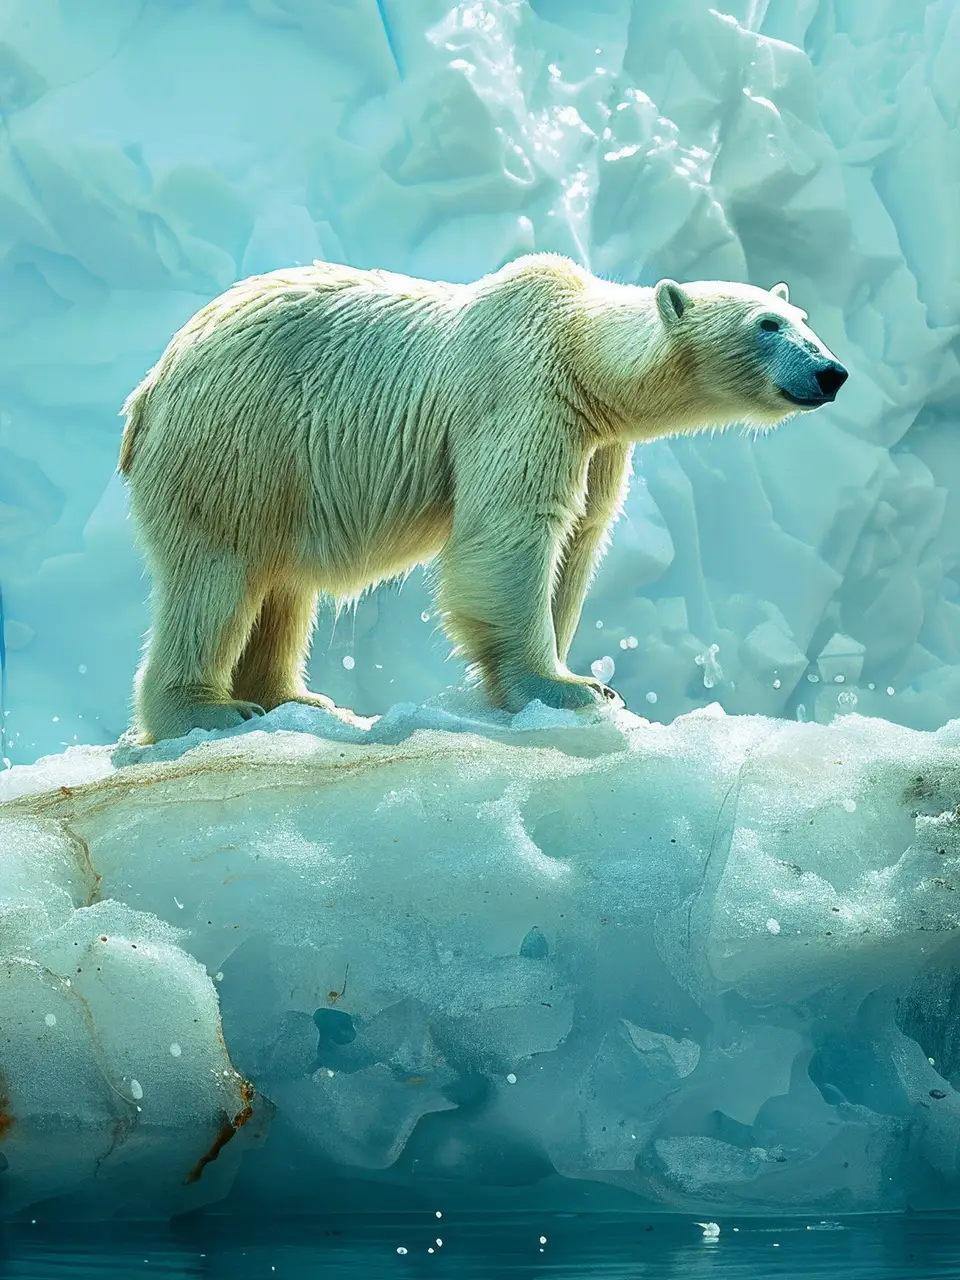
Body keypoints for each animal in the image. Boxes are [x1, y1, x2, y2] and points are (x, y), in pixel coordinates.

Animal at [117, 253, 847, 744]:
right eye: (767, 323)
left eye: (804, 318)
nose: (832, 371)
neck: (580, 349)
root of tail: (151, 387)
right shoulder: (524, 392)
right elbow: (513, 530)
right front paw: (570, 688)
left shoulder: (598, 442)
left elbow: (580, 538)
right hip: (237, 441)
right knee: (217, 576)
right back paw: (208, 710)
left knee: (282, 589)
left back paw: (298, 702)